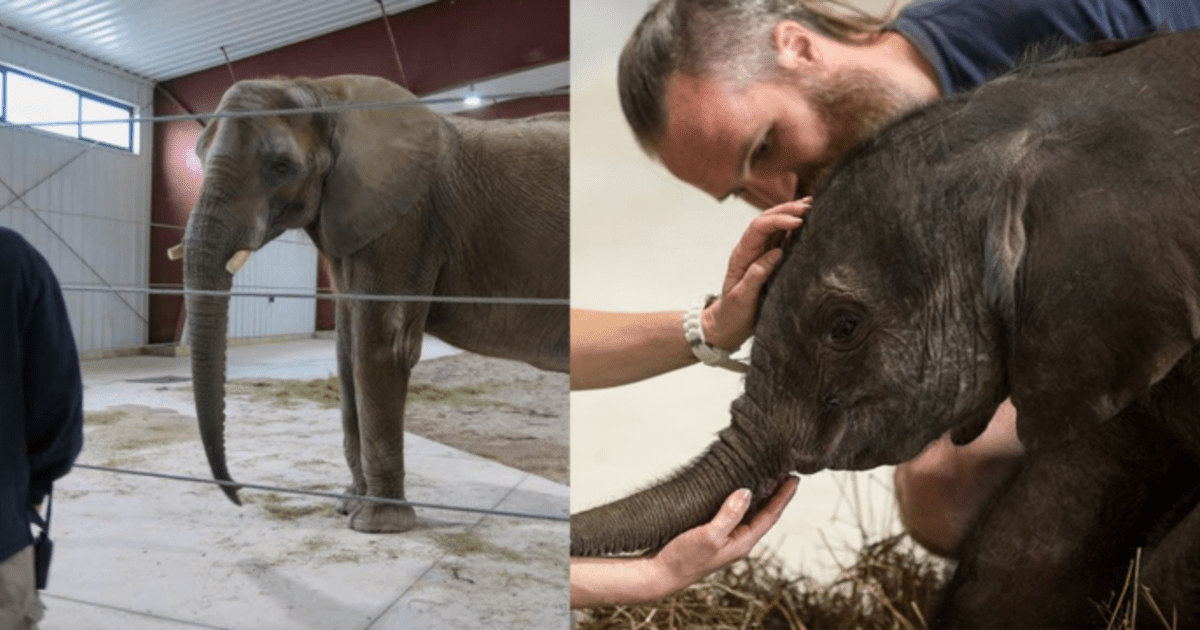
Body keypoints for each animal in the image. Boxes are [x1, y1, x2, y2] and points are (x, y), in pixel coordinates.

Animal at [180, 75, 567, 533]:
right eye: (199, 154)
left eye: (281, 167)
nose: (239, 496)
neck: (323, 92)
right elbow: (347, 350)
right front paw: (348, 505)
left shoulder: (406, 221)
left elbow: (379, 347)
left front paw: (377, 524)